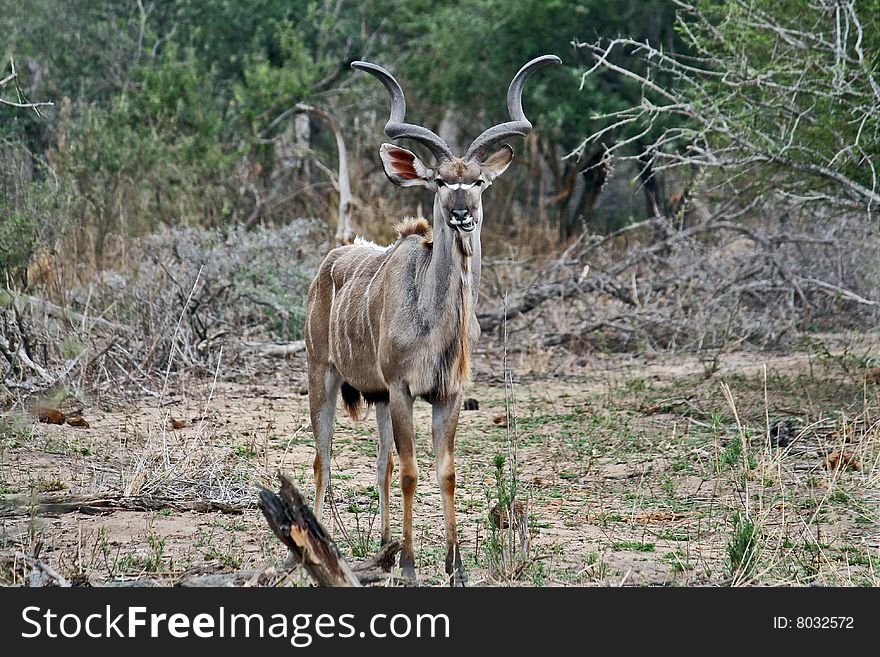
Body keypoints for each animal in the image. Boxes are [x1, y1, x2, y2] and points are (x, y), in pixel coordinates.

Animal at [306, 52, 560, 584]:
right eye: (440, 181)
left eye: (478, 181)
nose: (462, 214)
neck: (435, 320)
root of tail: (329, 262)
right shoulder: (404, 388)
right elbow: (411, 471)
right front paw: (408, 565)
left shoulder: (448, 394)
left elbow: (445, 471)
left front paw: (455, 565)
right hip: (324, 374)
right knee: (324, 457)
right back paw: (327, 548)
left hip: (378, 397)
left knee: (379, 461)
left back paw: (380, 546)